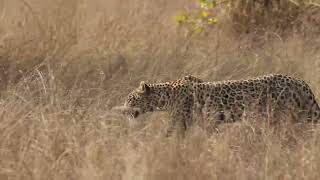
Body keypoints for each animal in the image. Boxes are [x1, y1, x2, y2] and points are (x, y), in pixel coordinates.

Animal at [124, 74, 320, 134]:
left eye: (130, 99)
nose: (123, 111)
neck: (164, 97)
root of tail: (298, 80)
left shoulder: (179, 121)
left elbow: (169, 134)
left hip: (284, 115)